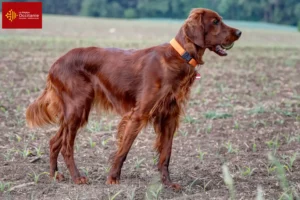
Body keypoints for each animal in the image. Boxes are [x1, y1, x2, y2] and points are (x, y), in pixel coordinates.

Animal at [26, 7, 241, 189]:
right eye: (215, 22)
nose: (239, 32)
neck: (179, 56)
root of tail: (55, 64)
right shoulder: (139, 113)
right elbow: (124, 150)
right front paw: (113, 178)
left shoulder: (169, 116)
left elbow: (166, 154)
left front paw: (168, 184)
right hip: (78, 107)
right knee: (66, 146)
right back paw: (77, 177)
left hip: (74, 110)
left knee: (54, 141)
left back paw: (55, 175)